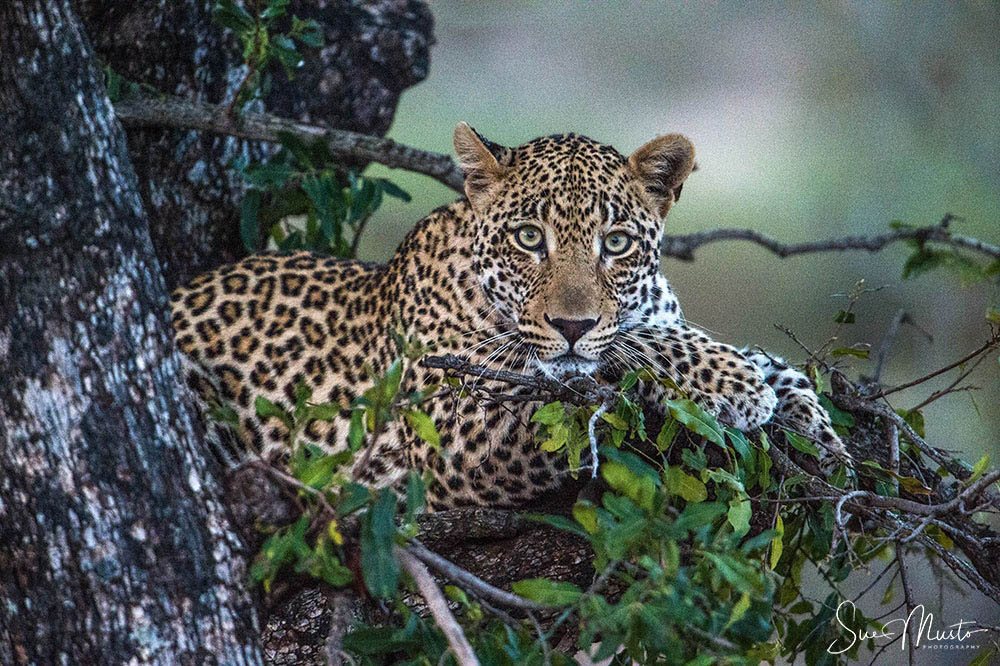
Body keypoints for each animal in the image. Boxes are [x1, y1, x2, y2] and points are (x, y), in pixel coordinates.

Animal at [171, 123, 848, 510]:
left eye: (616, 243)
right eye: (528, 238)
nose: (571, 326)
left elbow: (763, 360)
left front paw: (822, 438)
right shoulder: (456, 426)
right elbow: (625, 352)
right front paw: (734, 382)